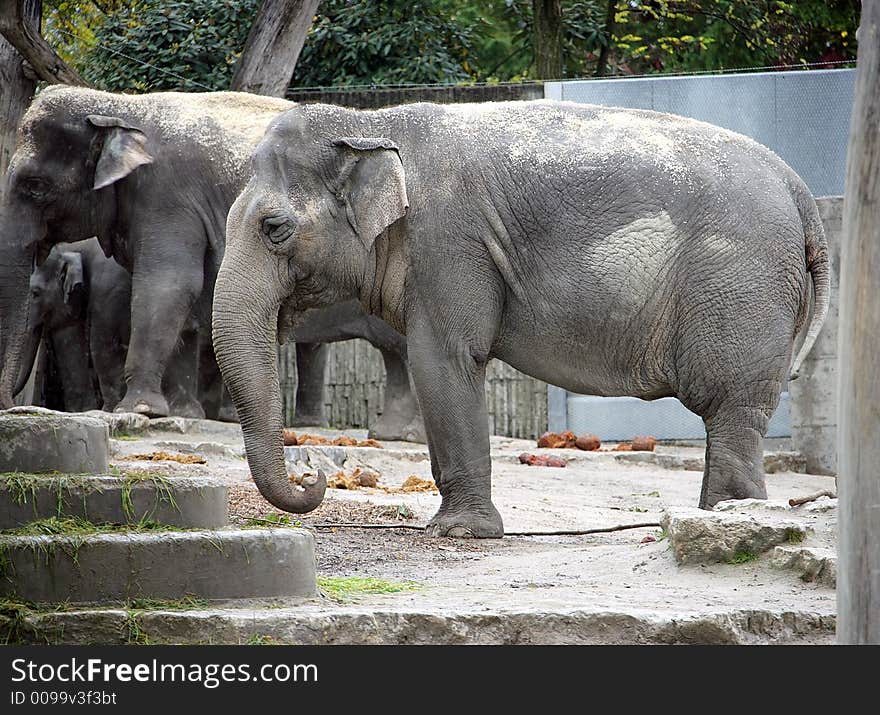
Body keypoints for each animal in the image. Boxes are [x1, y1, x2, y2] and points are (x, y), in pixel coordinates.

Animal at [0, 87, 426, 440]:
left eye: (34, 186)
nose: (11, 408)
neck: (122, 106)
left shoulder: (166, 196)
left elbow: (169, 284)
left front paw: (140, 411)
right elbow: (188, 299)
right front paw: (185, 413)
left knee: (400, 349)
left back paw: (405, 437)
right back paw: (384, 434)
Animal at [213, 99, 824, 536]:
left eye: (274, 228)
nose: (313, 473)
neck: (371, 123)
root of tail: (800, 191)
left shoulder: (449, 242)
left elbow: (444, 358)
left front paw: (459, 534)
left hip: (741, 288)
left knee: (731, 405)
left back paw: (727, 520)